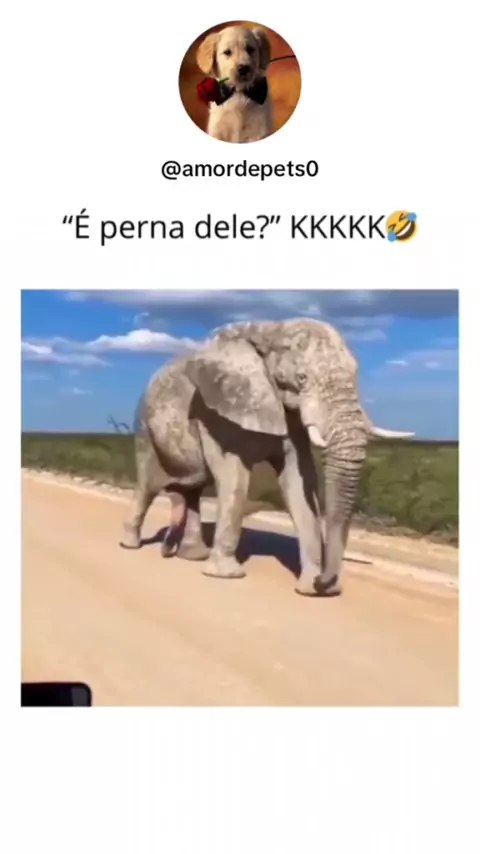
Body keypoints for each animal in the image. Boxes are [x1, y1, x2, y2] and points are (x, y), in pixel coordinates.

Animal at [120, 318, 414, 595]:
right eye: (302, 378)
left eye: (356, 374)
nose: (324, 582)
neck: (271, 329)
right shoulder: (215, 411)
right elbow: (235, 478)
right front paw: (227, 576)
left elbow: (300, 482)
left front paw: (310, 590)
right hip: (144, 425)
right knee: (147, 486)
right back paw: (130, 545)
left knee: (192, 490)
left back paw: (192, 556)